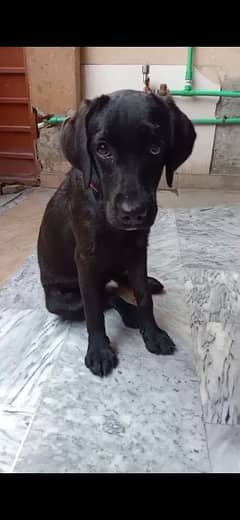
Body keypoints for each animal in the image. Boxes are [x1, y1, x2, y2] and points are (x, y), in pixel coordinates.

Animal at [37, 88, 195, 374]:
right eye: (103, 149)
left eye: (155, 149)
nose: (133, 212)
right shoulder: (86, 259)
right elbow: (94, 311)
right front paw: (99, 350)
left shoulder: (138, 248)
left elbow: (143, 296)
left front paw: (153, 333)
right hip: (60, 301)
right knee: (107, 297)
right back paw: (129, 313)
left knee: (116, 285)